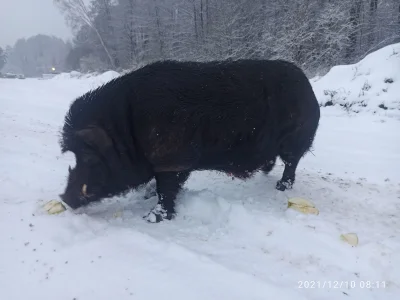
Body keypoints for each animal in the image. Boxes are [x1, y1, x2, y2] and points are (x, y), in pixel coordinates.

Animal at [59, 59, 320, 223]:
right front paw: (147, 196)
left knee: (291, 164)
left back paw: (280, 187)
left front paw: (152, 218)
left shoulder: (170, 159)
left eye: (88, 156)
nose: (63, 198)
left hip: (295, 138)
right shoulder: (174, 163)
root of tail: (309, 89)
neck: (126, 132)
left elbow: (167, 190)